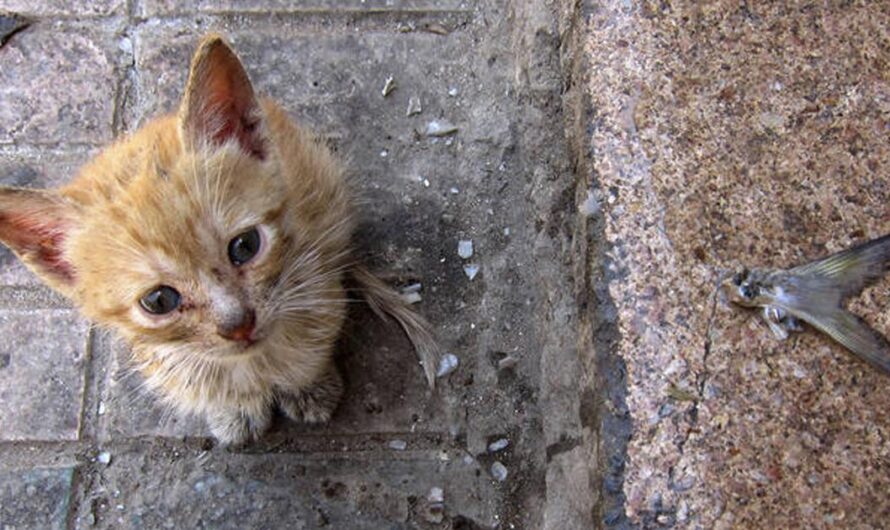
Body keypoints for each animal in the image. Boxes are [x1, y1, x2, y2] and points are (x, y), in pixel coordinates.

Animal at [0, 34, 438, 442]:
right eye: (159, 300)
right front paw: (235, 409)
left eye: (245, 247)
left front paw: (309, 386)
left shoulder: (316, 276)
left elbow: (313, 339)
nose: (239, 325)